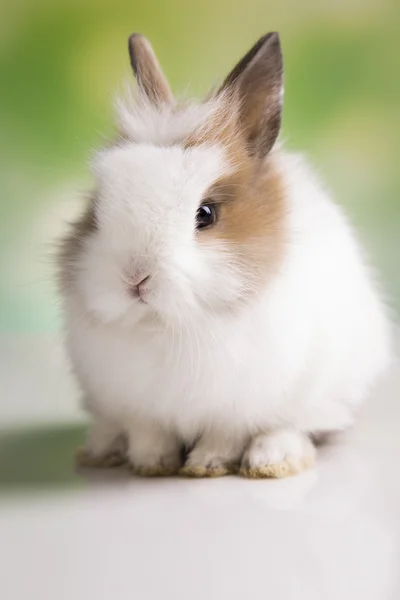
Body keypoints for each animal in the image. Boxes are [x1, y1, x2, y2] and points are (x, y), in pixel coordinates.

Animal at [59, 32, 390, 480]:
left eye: (206, 214)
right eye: (96, 211)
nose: (134, 278)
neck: (167, 326)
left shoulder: (239, 404)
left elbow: (227, 434)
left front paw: (207, 464)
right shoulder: (135, 403)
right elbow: (147, 431)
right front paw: (152, 463)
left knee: (293, 426)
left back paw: (273, 460)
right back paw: (100, 449)